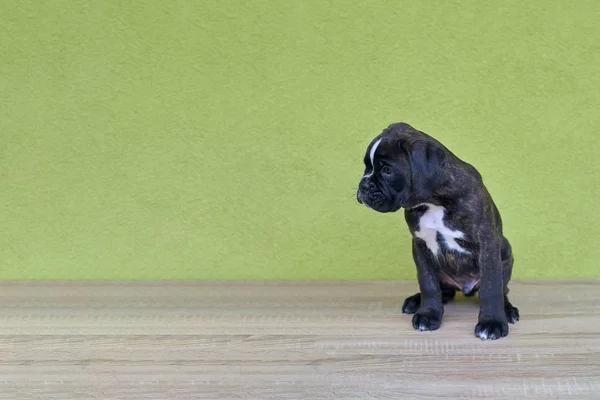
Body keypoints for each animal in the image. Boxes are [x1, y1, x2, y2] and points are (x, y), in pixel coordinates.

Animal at [354, 122, 516, 340]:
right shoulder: (420, 246)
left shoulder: (487, 244)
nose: (363, 185)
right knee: (443, 291)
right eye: (367, 167)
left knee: (502, 288)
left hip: (505, 250)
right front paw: (429, 314)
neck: (434, 202)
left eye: (387, 170)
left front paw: (491, 323)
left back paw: (508, 310)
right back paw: (416, 301)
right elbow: (428, 284)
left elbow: (491, 287)